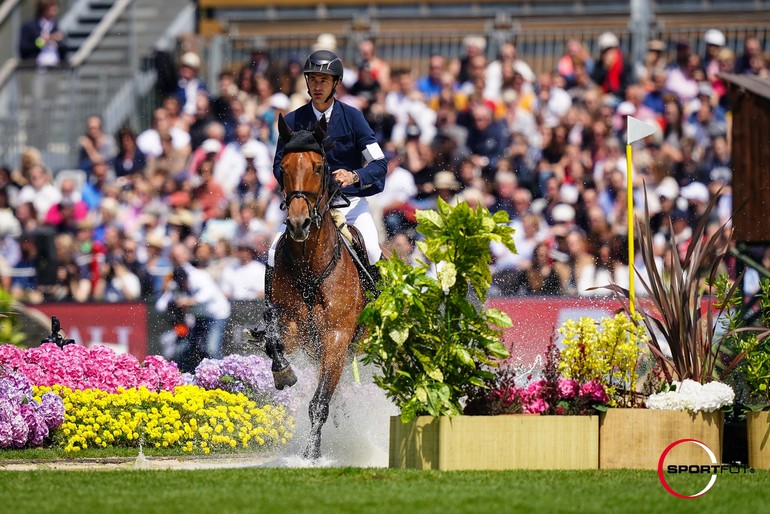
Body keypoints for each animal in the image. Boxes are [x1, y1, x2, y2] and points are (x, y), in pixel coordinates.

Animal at [262, 114, 370, 458]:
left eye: (319, 167)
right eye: (283, 167)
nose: (299, 224)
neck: (310, 264)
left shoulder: (337, 337)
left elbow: (320, 402)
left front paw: (311, 454)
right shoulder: (296, 331)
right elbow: (273, 341)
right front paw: (283, 373)